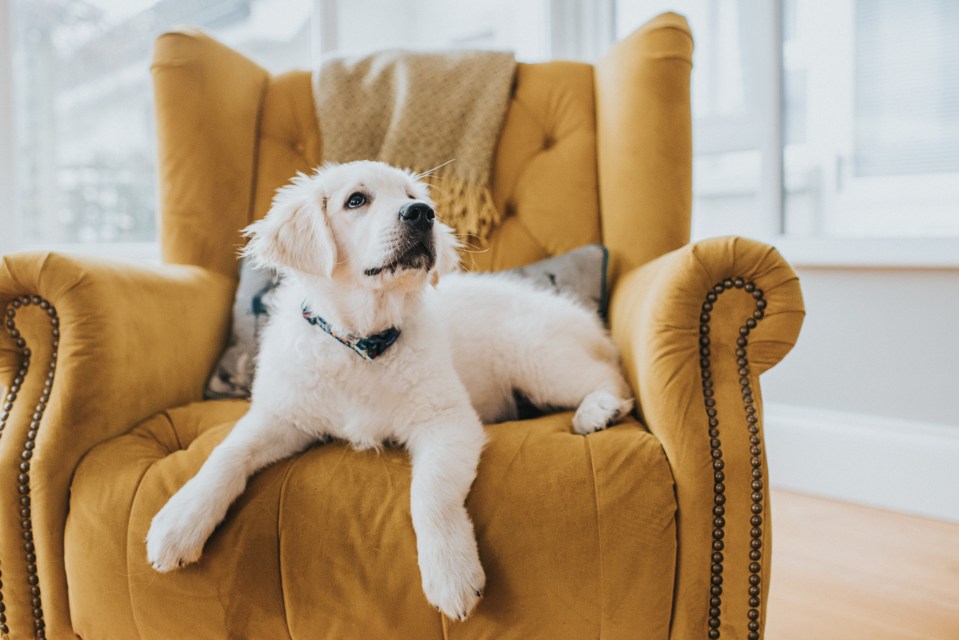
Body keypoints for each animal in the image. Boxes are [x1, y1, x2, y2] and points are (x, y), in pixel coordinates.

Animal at [146, 159, 632, 620]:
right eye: (356, 200)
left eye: (415, 197)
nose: (423, 214)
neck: (363, 343)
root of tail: (584, 318)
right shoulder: (283, 415)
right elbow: (226, 453)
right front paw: (179, 521)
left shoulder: (447, 420)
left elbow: (429, 495)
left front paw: (451, 573)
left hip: (536, 357)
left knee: (611, 375)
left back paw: (599, 410)